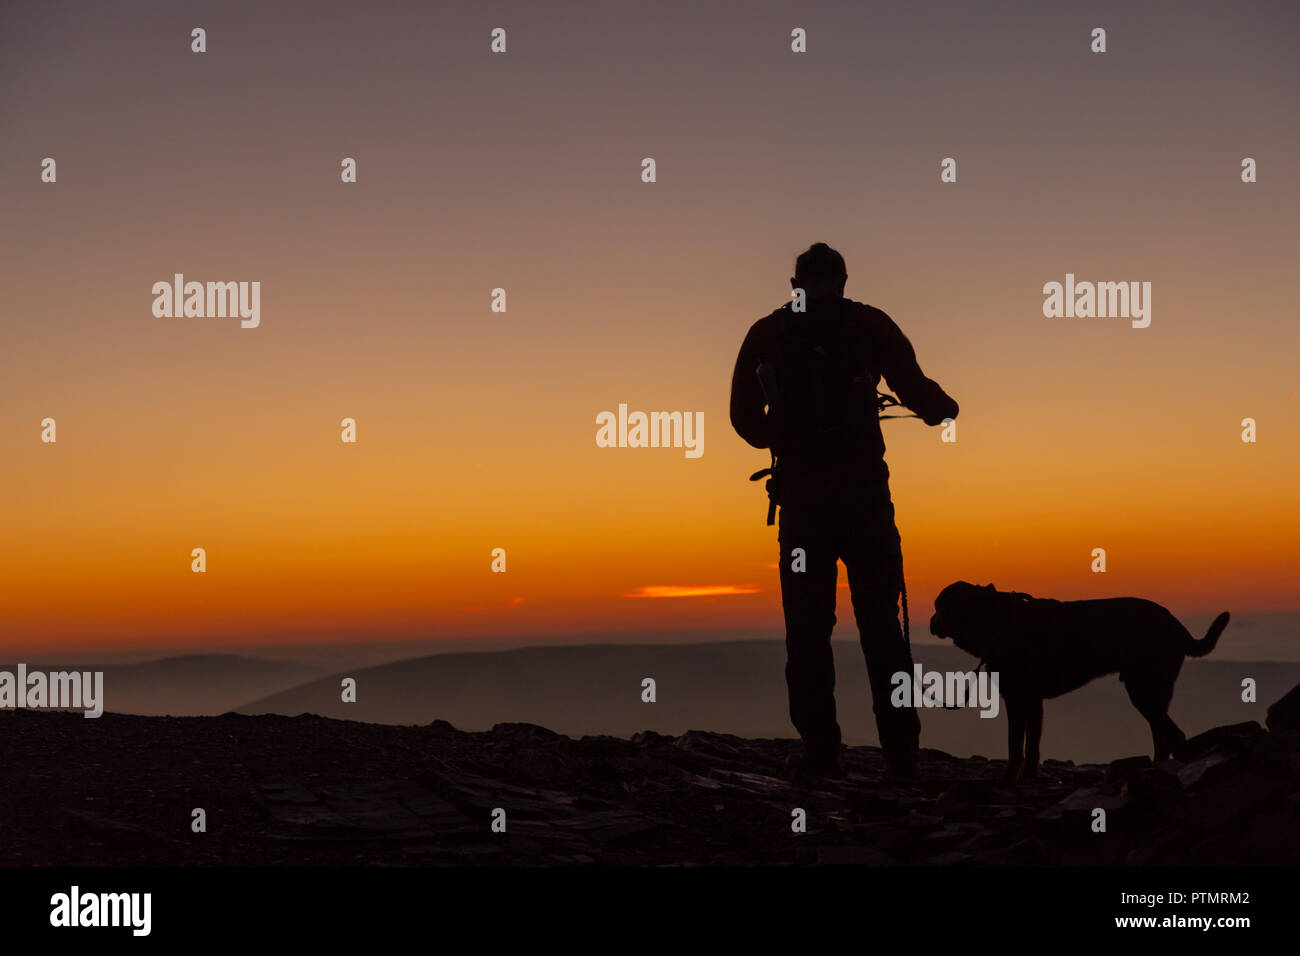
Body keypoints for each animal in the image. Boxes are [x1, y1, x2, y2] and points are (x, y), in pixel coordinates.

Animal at [930, 582, 1222, 785]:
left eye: (938, 607)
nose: (932, 621)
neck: (997, 621)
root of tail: (1176, 624)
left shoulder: (1017, 700)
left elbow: (1015, 744)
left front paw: (1009, 777)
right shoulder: (1033, 702)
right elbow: (1032, 744)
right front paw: (1029, 776)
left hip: (1142, 690)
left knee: (1173, 733)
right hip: (1156, 692)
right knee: (1161, 733)